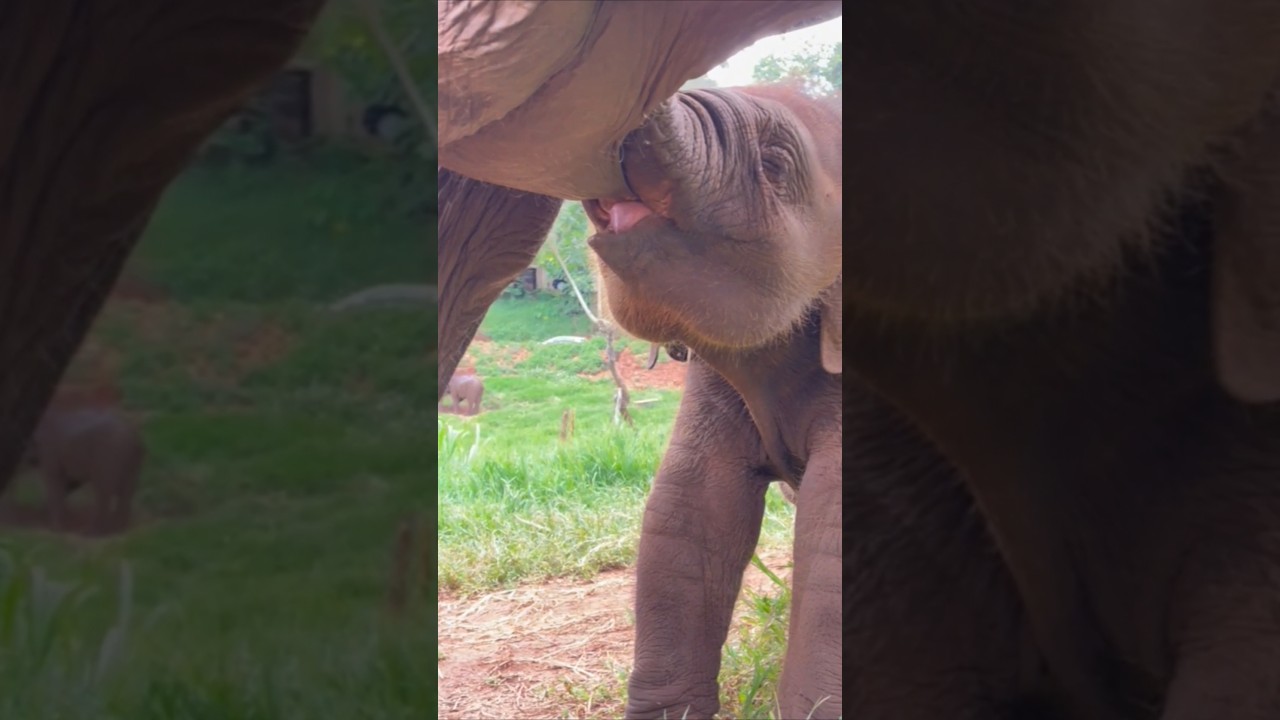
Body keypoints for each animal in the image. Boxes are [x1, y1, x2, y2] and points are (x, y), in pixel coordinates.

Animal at [21, 406, 145, 535]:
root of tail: (134, 439)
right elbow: (69, 482)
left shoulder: (49, 449)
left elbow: (54, 480)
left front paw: (55, 528)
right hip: (132, 461)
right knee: (127, 491)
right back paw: (119, 530)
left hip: (108, 455)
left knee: (104, 490)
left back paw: (93, 532)